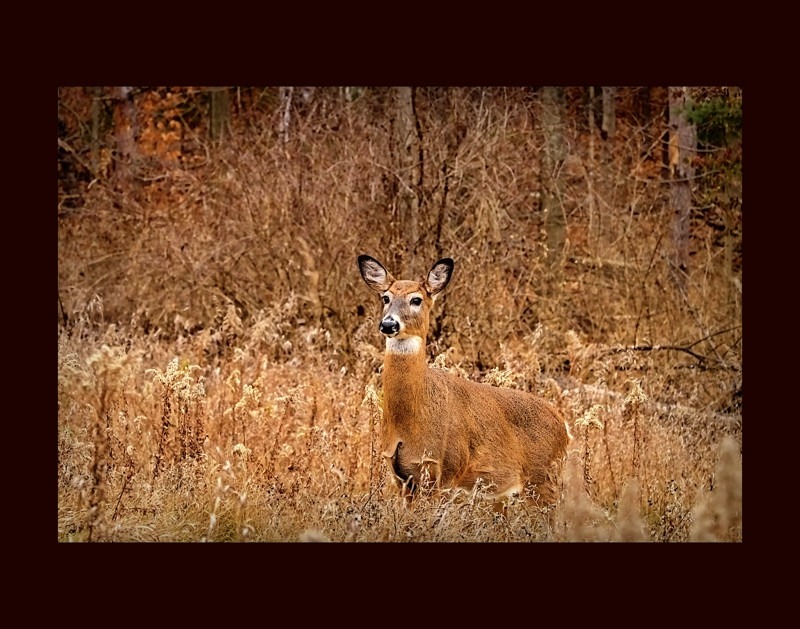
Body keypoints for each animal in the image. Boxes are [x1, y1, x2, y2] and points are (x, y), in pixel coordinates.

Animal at [358, 254, 570, 505]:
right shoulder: (402, 478)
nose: (389, 324)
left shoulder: (448, 470)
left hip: (543, 477)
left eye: (416, 299)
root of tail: (564, 427)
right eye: (386, 297)